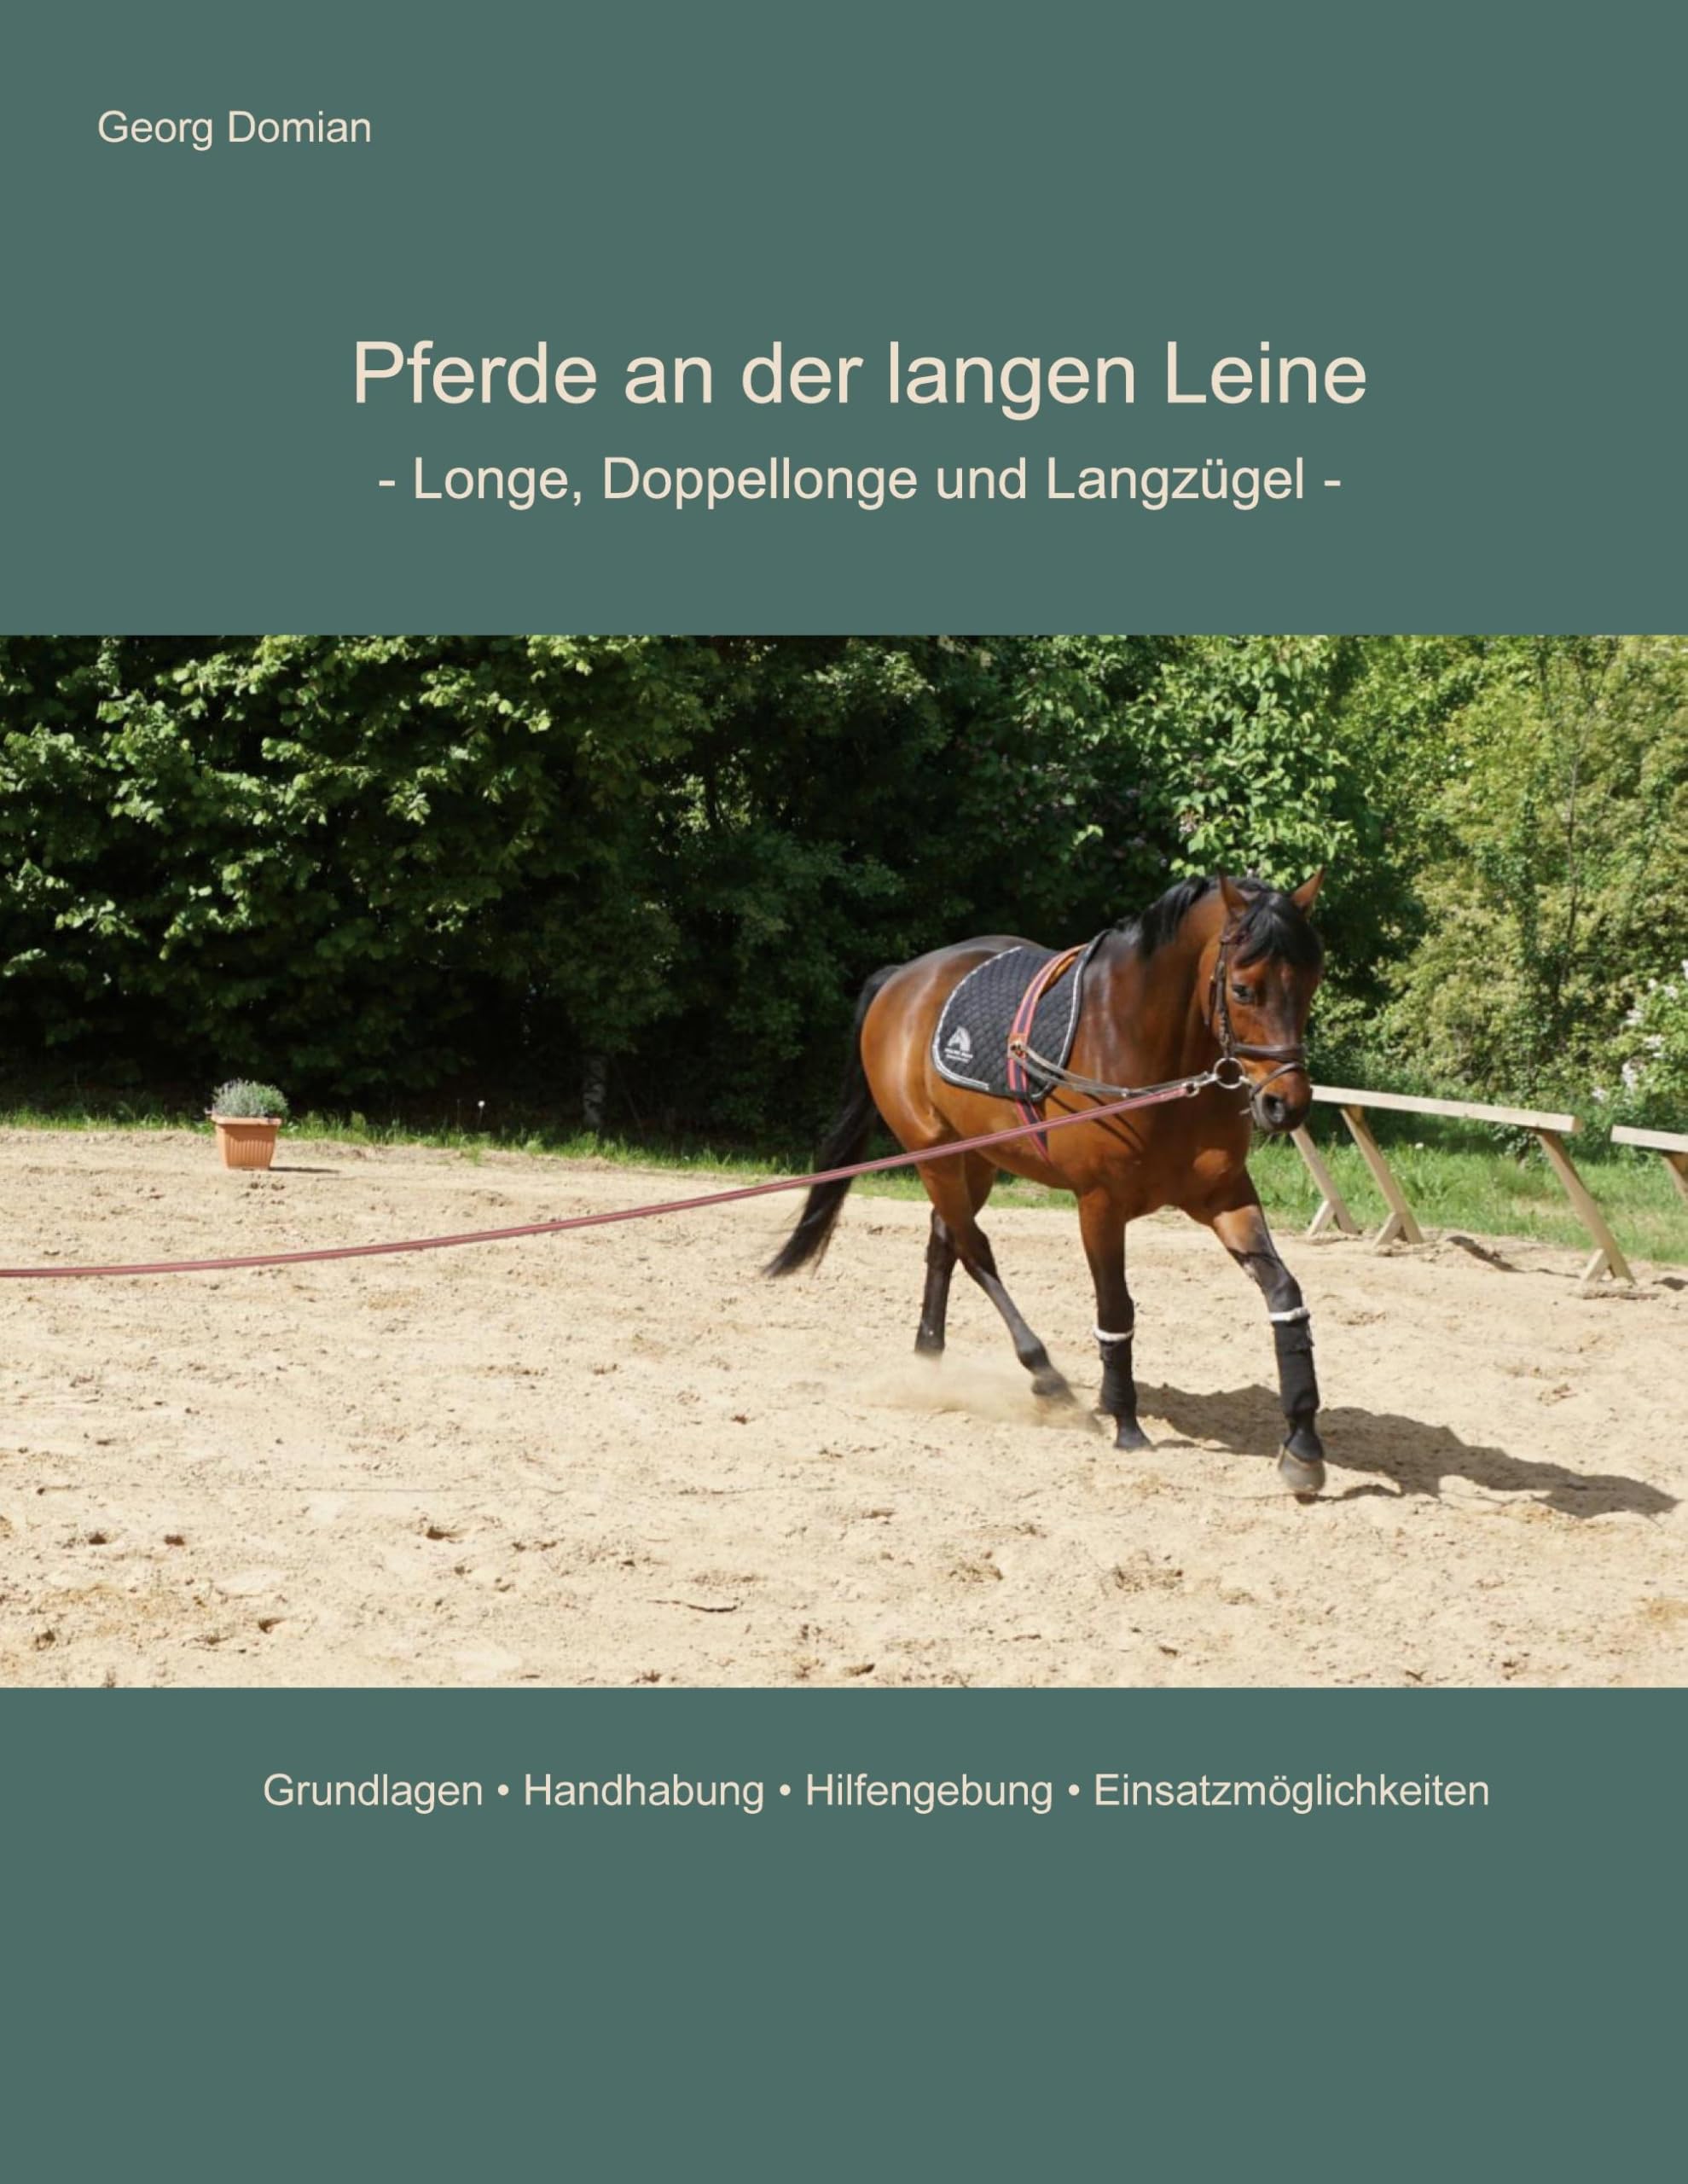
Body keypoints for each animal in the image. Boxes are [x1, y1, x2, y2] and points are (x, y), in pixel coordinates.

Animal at [766, 872, 1330, 1496]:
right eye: (1243, 989)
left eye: (1310, 983)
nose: (1286, 1104)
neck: (1143, 1050)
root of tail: (902, 979)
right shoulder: (1099, 1206)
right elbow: (1116, 1311)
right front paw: (1125, 1421)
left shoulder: (1224, 1197)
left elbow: (1286, 1296)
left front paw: (1302, 1445)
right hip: (934, 1156)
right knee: (973, 1250)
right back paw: (1044, 1374)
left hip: (974, 1160)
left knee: (944, 1240)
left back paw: (930, 1357)